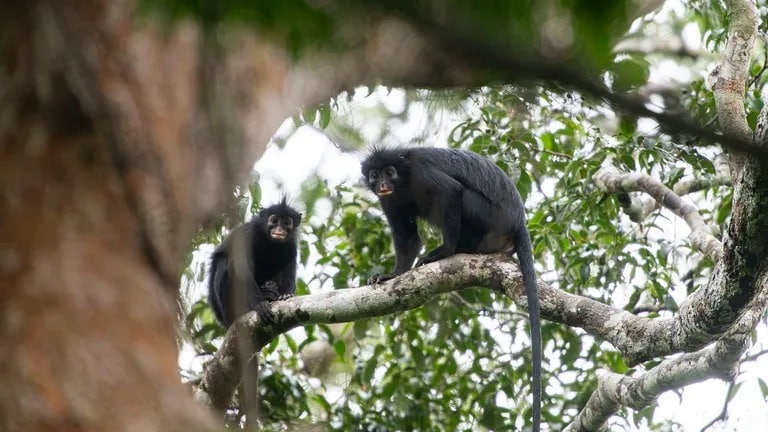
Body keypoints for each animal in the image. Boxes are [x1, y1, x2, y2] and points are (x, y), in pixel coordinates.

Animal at [207, 197, 302, 327]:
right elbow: (243, 270)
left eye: (286, 223)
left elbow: (289, 269)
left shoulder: (291, 245)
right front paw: (259, 304)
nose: (279, 229)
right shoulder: (248, 234)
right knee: (224, 262)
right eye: (274, 221)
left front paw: (286, 294)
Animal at [361, 146, 542, 432]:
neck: (404, 180)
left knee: (463, 196)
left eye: (390, 172)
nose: (382, 184)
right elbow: (408, 238)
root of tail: (518, 221)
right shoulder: (389, 201)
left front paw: (444, 251)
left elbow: (451, 192)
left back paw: (455, 249)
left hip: (489, 216)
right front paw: (392, 274)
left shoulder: (421, 172)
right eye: (374, 175)